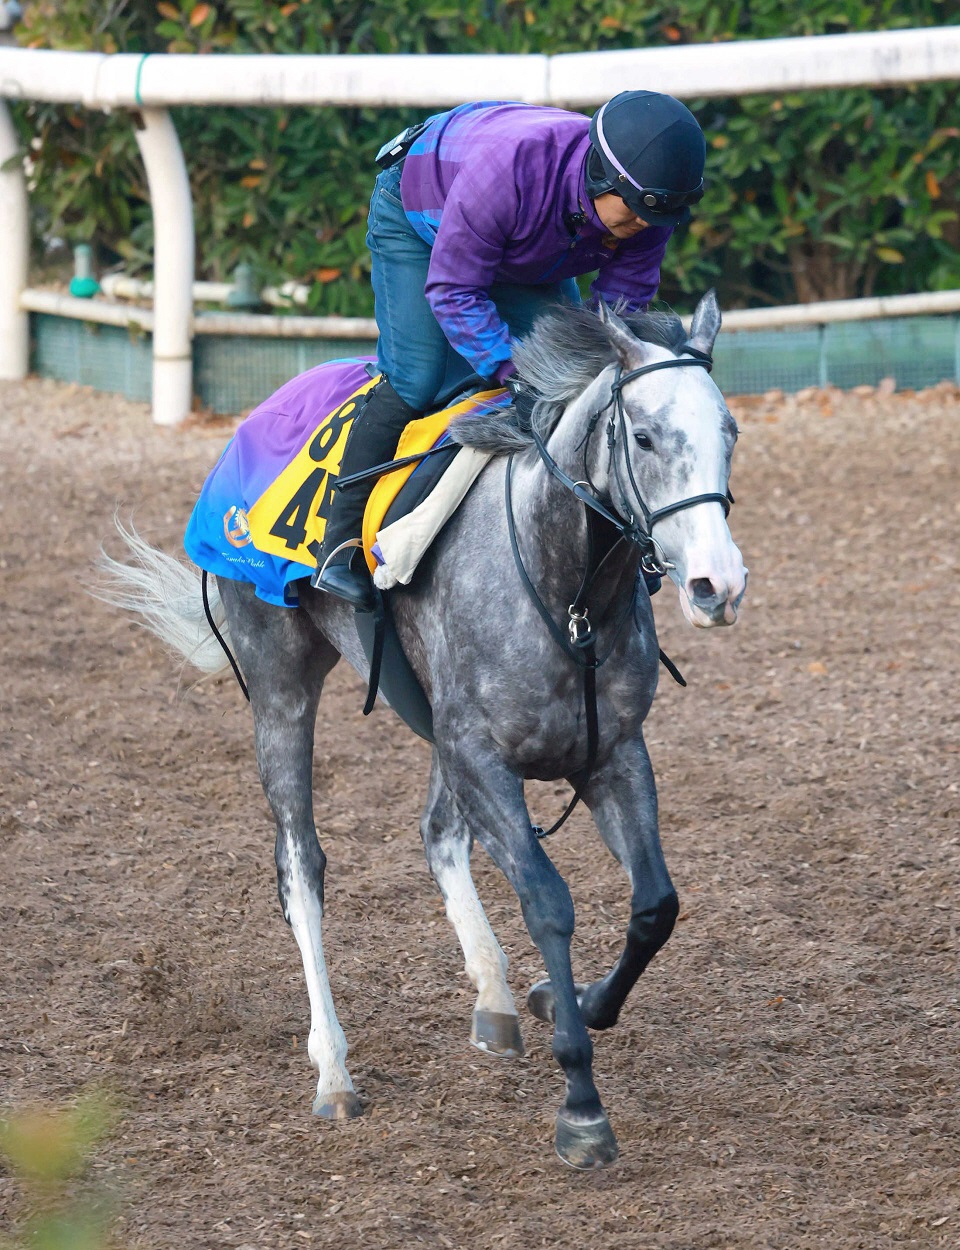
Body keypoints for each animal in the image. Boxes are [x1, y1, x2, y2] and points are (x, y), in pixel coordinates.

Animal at [101, 292, 746, 1170]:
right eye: (644, 436)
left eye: (729, 432)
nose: (720, 584)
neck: (569, 589)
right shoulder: (482, 757)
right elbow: (549, 902)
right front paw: (581, 1104)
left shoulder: (610, 754)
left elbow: (655, 906)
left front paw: (567, 999)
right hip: (280, 689)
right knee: (300, 865)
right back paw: (334, 1072)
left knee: (438, 833)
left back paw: (495, 998)